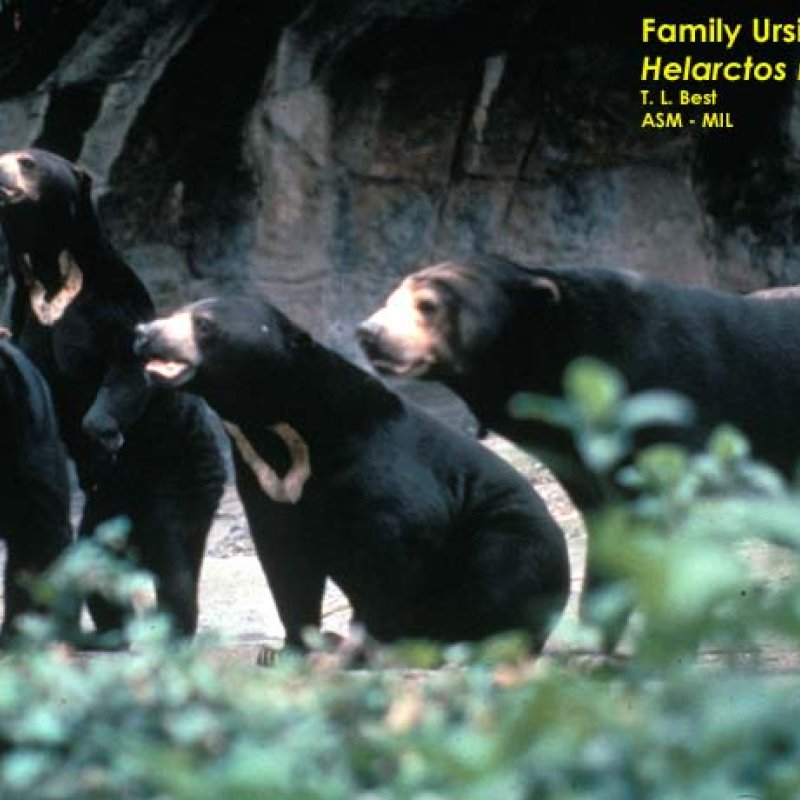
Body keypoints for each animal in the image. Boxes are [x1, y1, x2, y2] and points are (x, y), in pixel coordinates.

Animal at [0, 147, 225, 638]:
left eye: (26, 161)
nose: (2, 174)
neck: (51, 270)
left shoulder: (112, 298)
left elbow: (125, 368)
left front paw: (103, 437)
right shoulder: (23, 309)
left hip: (184, 468)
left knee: (175, 553)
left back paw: (173, 629)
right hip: (112, 504)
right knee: (98, 553)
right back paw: (110, 631)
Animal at [133, 295, 570, 654]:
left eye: (203, 324)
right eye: (174, 312)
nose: (143, 334)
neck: (277, 427)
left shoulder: (378, 465)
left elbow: (397, 539)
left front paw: (368, 648)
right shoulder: (268, 489)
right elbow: (286, 564)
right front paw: (290, 649)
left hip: (515, 538)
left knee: (499, 574)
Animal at [358, 258, 800, 648]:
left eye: (428, 305)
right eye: (390, 299)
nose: (368, 333)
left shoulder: (665, 399)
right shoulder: (579, 460)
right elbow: (612, 531)